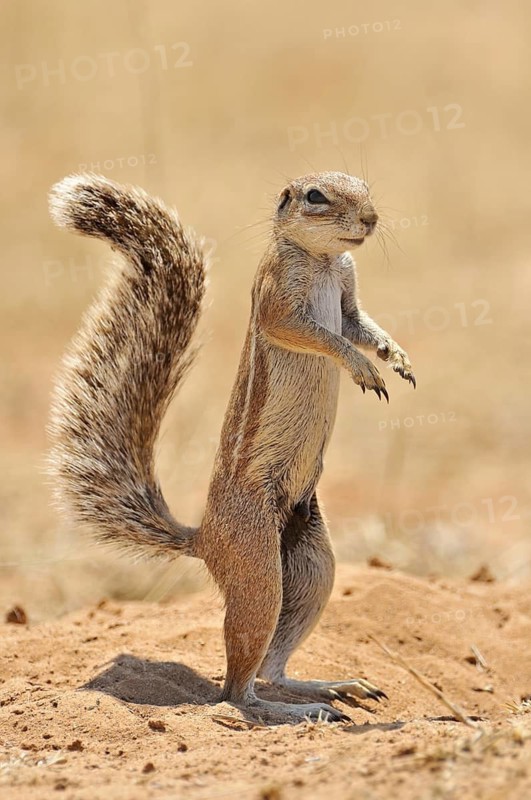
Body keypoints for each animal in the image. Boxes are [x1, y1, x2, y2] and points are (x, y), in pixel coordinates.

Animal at [48, 171, 415, 723]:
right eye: (315, 196)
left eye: (364, 187)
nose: (370, 220)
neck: (325, 260)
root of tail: (204, 538)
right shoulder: (277, 298)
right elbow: (322, 336)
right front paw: (363, 367)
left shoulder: (348, 293)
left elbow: (358, 325)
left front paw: (396, 355)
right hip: (259, 569)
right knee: (236, 691)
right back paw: (292, 711)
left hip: (313, 565)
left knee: (272, 668)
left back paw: (328, 686)